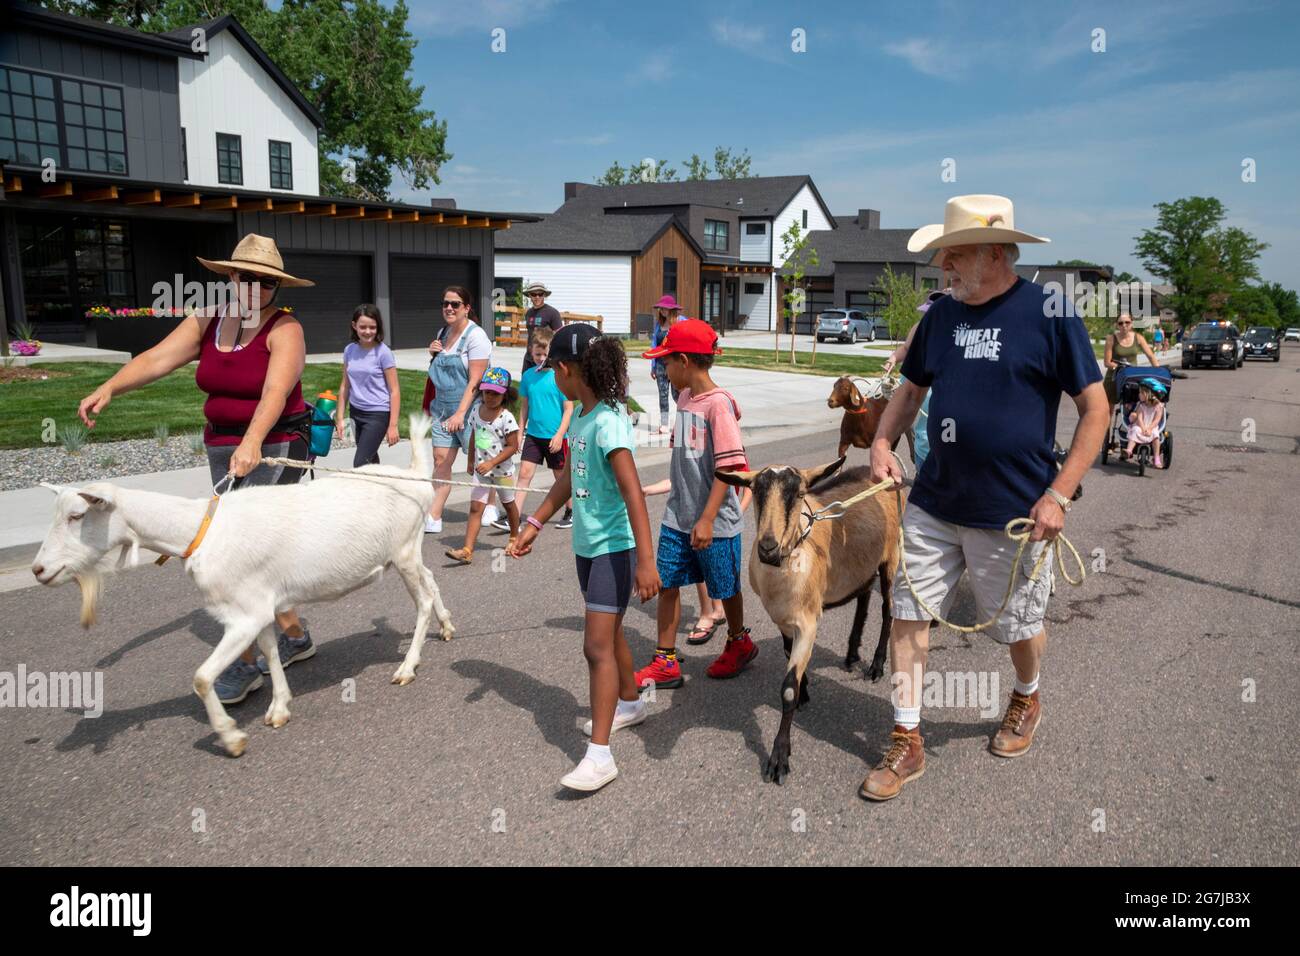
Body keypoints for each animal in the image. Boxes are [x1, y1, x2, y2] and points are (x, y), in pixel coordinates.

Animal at [30, 416, 452, 759]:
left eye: (77, 515)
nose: (39, 569)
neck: (199, 531)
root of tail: (416, 475)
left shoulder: (243, 615)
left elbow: (202, 678)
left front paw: (232, 739)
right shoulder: (259, 605)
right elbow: (269, 650)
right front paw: (279, 709)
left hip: (403, 550)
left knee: (422, 600)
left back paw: (407, 666)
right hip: (408, 552)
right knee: (432, 581)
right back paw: (447, 626)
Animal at [717, 457, 899, 785]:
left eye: (800, 493)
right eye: (755, 492)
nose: (767, 547)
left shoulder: (808, 622)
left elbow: (787, 688)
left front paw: (779, 758)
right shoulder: (782, 619)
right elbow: (789, 656)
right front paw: (805, 691)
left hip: (890, 557)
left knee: (887, 610)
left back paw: (876, 666)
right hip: (862, 563)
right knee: (864, 595)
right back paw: (851, 654)